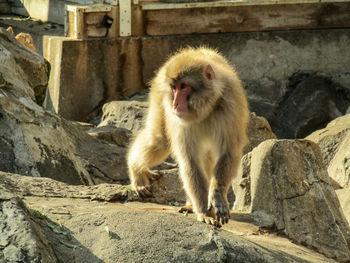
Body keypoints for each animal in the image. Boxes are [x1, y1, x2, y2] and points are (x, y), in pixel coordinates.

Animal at [127, 47, 250, 227]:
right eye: (174, 88)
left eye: (183, 87)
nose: (175, 104)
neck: (205, 107)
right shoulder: (180, 121)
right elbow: (190, 161)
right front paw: (204, 212)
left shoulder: (231, 107)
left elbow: (227, 152)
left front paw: (217, 196)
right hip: (159, 94)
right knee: (159, 141)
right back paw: (136, 171)